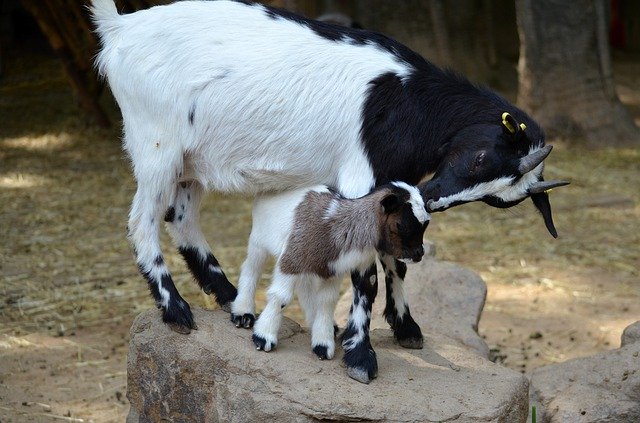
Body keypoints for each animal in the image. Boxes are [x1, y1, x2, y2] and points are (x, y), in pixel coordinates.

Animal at [232, 184, 428, 370]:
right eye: (401, 225)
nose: (419, 254)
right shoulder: (291, 259)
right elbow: (281, 298)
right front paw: (263, 337)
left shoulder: (331, 271)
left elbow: (327, 302)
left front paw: (323, 344)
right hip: (259, 239)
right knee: (251, 268)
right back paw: (243, 312)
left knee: (305, 288)